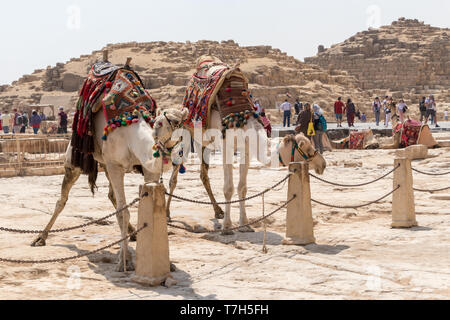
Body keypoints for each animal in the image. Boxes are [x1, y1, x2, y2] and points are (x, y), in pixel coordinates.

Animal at [30, 59, 188, 270]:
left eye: (184, 122)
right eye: (162, 123)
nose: (180, 147)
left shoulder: (146, 168)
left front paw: (165, 262)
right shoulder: (115, 165)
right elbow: (123, 212)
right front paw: (124, 261)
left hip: (104, 164)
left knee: (111, 195)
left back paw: (132, 232)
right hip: (76, 159)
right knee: (62, 200)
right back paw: (41, 237)